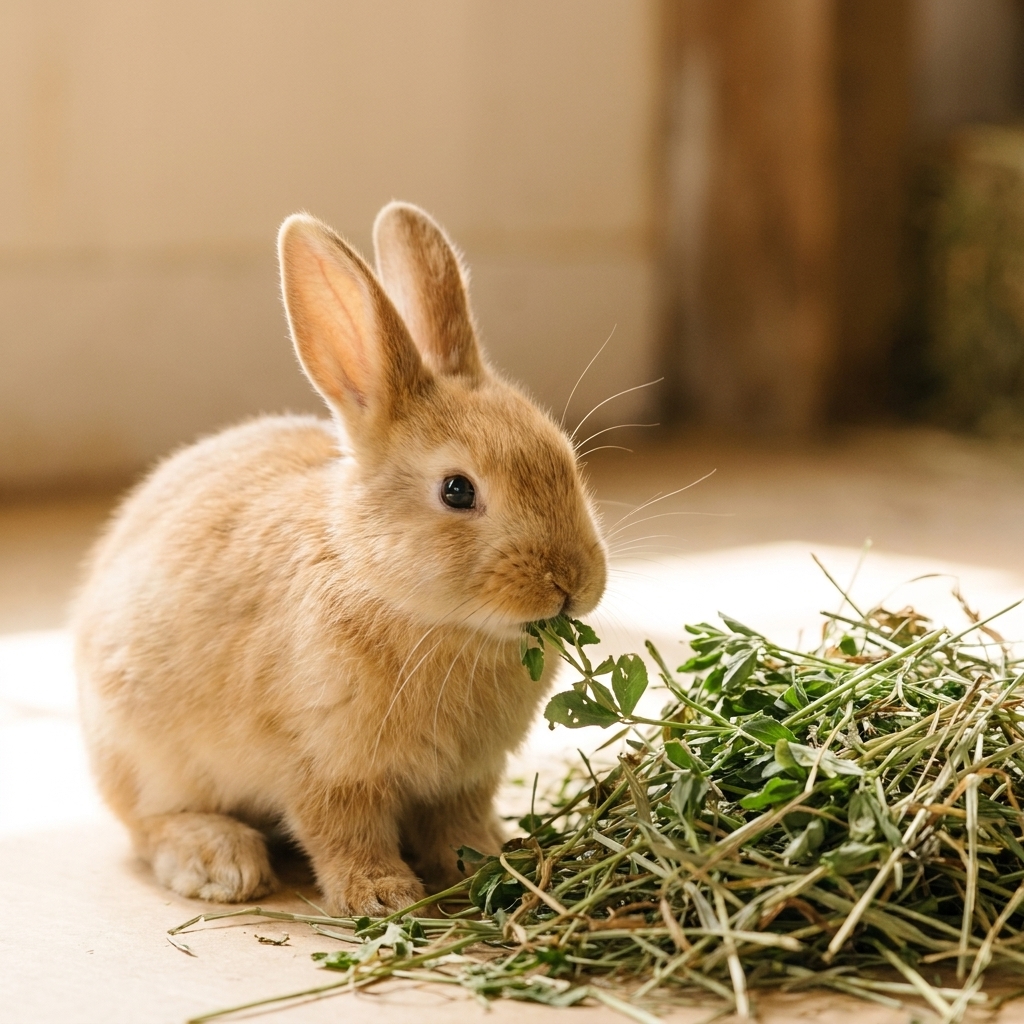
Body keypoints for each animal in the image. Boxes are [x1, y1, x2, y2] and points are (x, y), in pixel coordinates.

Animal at [73, 202, 607, 915]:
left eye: (566, 461)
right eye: (457, 490)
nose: (571, 583)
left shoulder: (464, 779)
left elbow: (458, 825)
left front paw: (488, 862)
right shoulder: (325, 767)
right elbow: (343, 834)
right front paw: (383, 897)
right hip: (144, 752)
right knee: (147, 822)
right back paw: (220, 862)